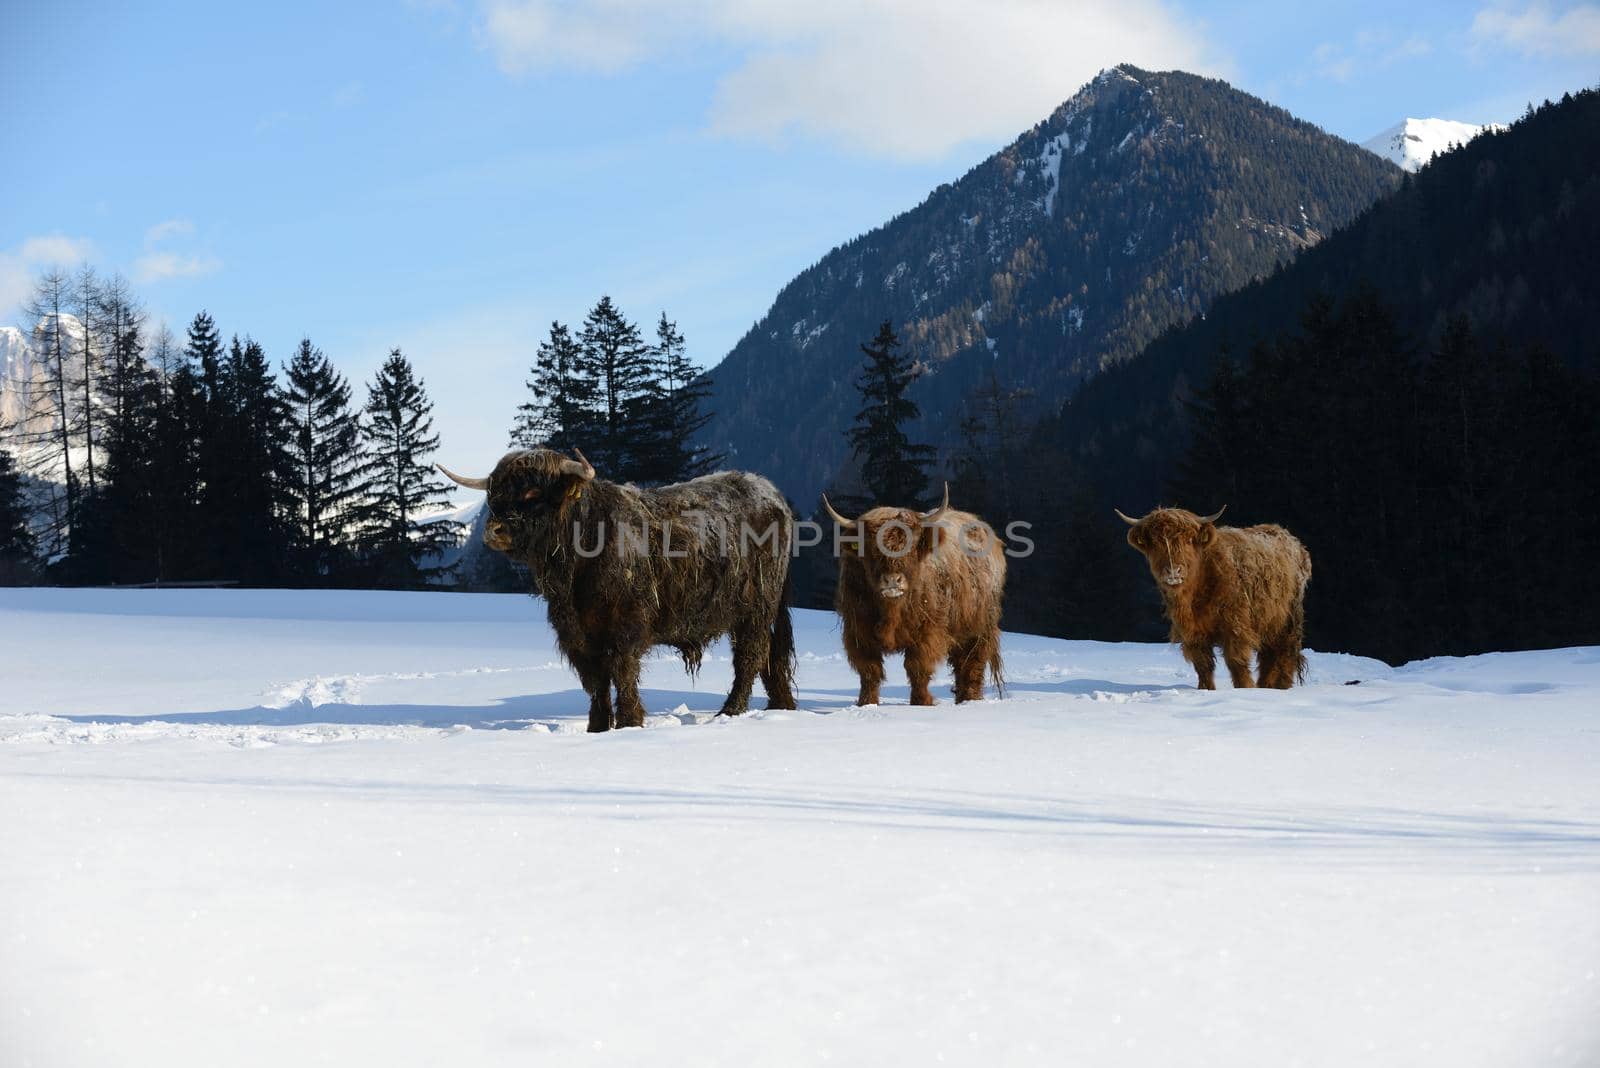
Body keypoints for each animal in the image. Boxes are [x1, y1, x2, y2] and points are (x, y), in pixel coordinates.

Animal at [825, 486, 998, 709]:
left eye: (911, 544)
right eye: (869, 547)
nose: (892, 580)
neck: (892, 611)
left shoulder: (928, 632)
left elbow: (917, 668)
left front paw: (921, 703)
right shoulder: (858, 632)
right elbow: (870, 671)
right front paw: (866, 704)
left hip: (979, 628)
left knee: (972, 664)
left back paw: (970, 700)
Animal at [1113, 508, 1312, 693]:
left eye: (1188, 540)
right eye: (1155, 543)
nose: (1173, 571)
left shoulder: (1236, 626)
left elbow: (1236, 662)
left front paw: (1245, 689)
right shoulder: (1193, 632)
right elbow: (1203, 664)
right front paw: (1206, 690)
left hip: (1290, 619)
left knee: (1286, 652)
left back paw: (1281, 687)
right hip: (1268, 621)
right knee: (1269, 656)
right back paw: (1266, 686)